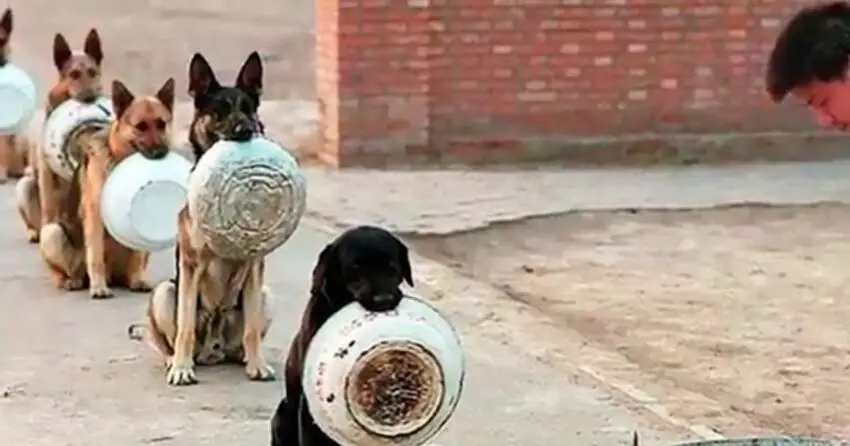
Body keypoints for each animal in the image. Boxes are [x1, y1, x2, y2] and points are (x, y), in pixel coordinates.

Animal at [16, 28, 104, 244]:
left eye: (93, 73)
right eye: (74, 75)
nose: (90, 97)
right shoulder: (46, 172)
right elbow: (48, 206)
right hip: (25, 184)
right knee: (38, 221)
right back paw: (36, 232)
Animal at [38, 78, 174, 298]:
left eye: (162, 124)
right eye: (141, 126)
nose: (161, 153)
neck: (119, 158)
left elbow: (136, 255)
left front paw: (136, 280)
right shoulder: (94, 216)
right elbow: (95, 256)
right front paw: (99, 287)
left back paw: (130, 280)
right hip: (52, 232)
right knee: (64, 272)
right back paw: (72, 281)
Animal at [130, 51, 274, 386]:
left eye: (248, 109)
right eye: (219, 111)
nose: (246, 131)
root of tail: (213, 350)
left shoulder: (254, 267)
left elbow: (251, 330)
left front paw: (258, 364)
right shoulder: (191, 265)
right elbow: (185, 327)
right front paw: (182, 369)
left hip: (264, 295)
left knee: (244, 336)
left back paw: (244, 358)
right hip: (165, 292)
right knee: (171, 337)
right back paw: (174, 360)